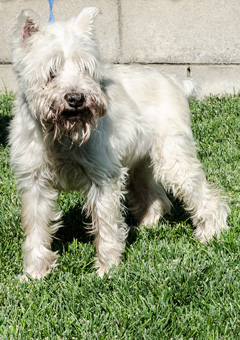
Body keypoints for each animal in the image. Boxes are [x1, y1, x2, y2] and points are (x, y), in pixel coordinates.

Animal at [9, 7, 229, 278]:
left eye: (85, 69)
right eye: (51, 72)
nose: (76, 98)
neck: (62, 134)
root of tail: (175, 81)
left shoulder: (103, 177)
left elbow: (106, 224)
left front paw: (107, 269)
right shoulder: (34, 181)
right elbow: (36, 228)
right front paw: (34, 273)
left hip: (173, 157)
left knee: (202, 193)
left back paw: (210, 232)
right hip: (138, 164)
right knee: (156, 196)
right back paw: (148, 224)